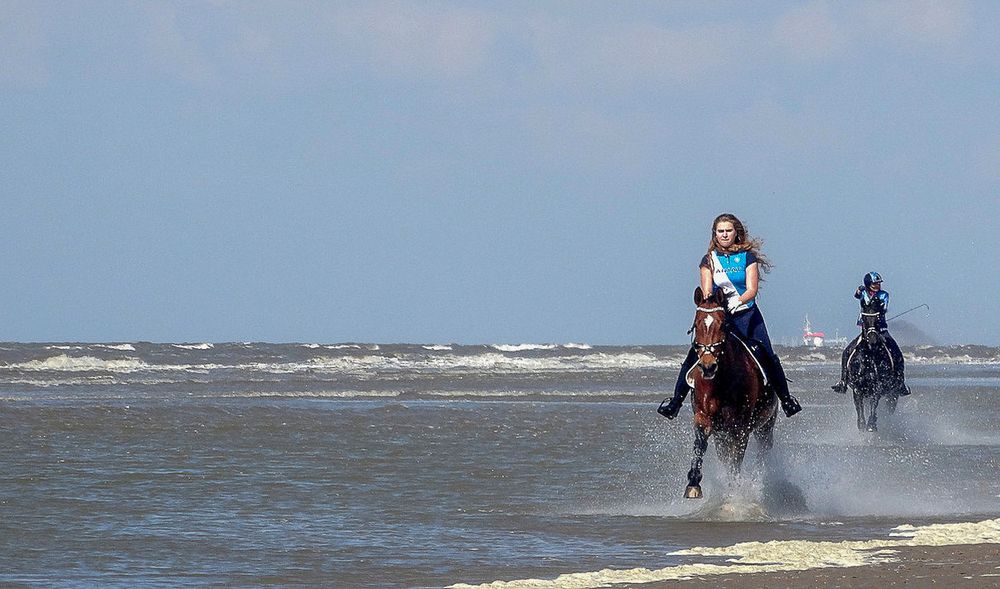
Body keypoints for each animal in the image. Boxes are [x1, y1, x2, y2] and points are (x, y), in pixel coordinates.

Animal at [684, 288, 776, 498]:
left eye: (722, 324)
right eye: (696, 325)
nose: (708, 366)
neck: (720, 383)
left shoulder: (740, 428)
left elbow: (736, 461)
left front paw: (735, 490)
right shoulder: (704, 418)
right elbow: (700, 445)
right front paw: (693, 484)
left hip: (766, 425)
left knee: (763, 451)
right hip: (722, 434)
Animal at [844, 296, 900, 430]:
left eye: (878, 317)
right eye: (864, 317)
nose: (873, 339)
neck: (868, 357)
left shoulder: (878, 386)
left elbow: (874, 403)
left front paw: (871, 424)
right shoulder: (857, 388)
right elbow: (859, 406)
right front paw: (861, 424)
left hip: (893, 393)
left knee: (889, 407)